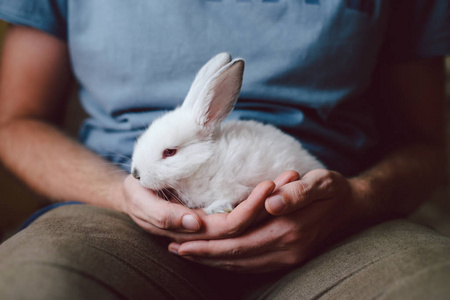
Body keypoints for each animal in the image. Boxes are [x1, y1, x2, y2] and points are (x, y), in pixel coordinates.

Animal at [130, 53, 324, 213]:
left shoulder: (235, 187)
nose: (136, 174)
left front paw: (216, 209)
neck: (204, 162)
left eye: (169, 152)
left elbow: (234, 195)